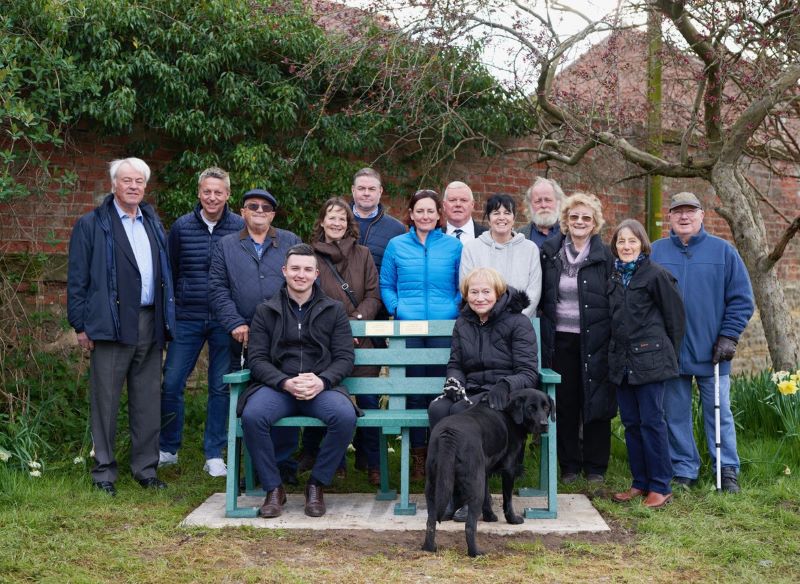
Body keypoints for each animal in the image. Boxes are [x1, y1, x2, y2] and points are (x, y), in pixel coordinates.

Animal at [422, 388, 552, 556]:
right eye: (530, 407)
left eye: (546, 407)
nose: (544, 425)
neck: (508, 412)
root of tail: (449, 434)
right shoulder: (509, 469)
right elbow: (508, 500)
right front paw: (513, 520)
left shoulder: (484, 471)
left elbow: (487, 497)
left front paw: (490, 516)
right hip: (473, 485)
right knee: (470, 526)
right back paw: (475, 552)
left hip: (434, 486)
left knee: (430, 522)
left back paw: (429, 548)